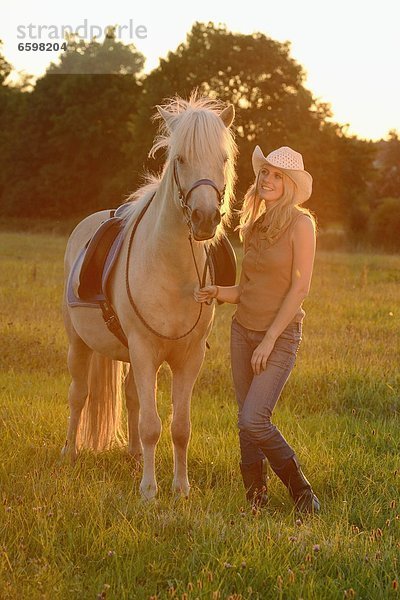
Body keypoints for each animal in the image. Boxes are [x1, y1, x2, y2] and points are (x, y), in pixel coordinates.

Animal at [61, 94, 236, 500]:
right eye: (181, 159)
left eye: (223, 158)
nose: (205, 218)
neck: (171, 269)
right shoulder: (144, 351)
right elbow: (152, 425)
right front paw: (149, 490)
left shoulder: (188, 359)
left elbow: (179, 426)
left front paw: (181, 487)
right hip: (80, 343)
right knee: (79, 395)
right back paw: (71, 452)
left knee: (130, 397)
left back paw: (134, 455)